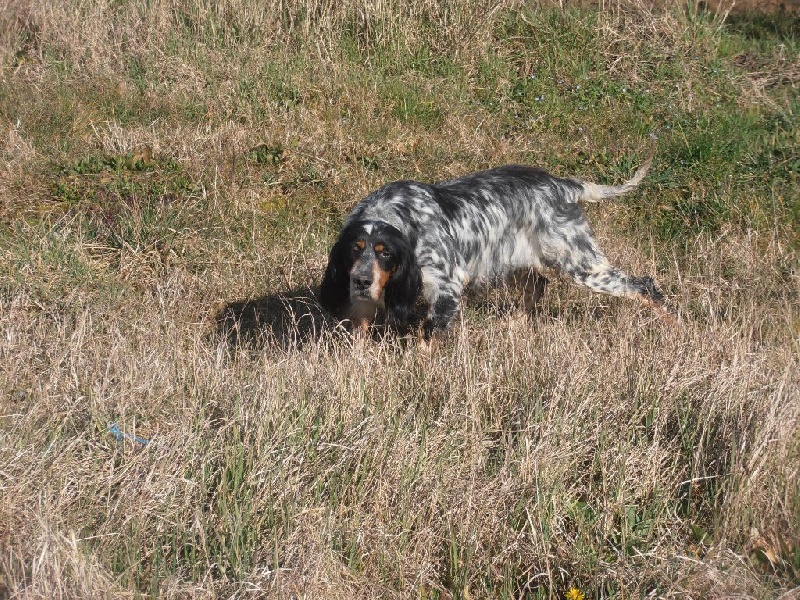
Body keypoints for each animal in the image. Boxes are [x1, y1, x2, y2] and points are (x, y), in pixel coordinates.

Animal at [320, 152, 668, 340]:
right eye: (354, 249)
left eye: (386, 253)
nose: (361, 281)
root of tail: (562, 185)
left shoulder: (447, 286)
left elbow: (428, 336)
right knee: (537, 285)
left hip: (581, 263)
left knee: (645, 287)